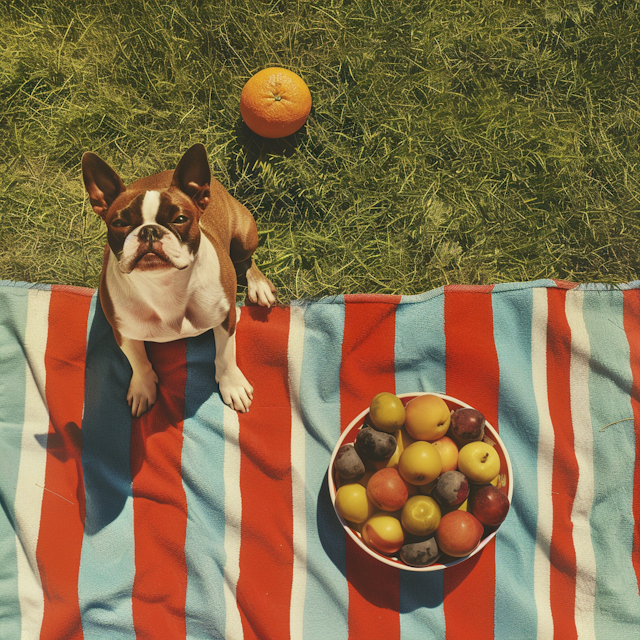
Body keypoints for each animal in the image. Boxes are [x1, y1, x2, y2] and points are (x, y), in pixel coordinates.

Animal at [82, 142, 276, 418]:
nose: (149, 231)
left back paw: (259, 286)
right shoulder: (123, 331)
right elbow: (138, 361)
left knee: (246, 260)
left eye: (180, 219)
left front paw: (232, 385)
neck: (164, 285)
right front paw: (143, 388)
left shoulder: (226, 318)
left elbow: (225, 354)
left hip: (244, 235)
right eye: (119, 223)